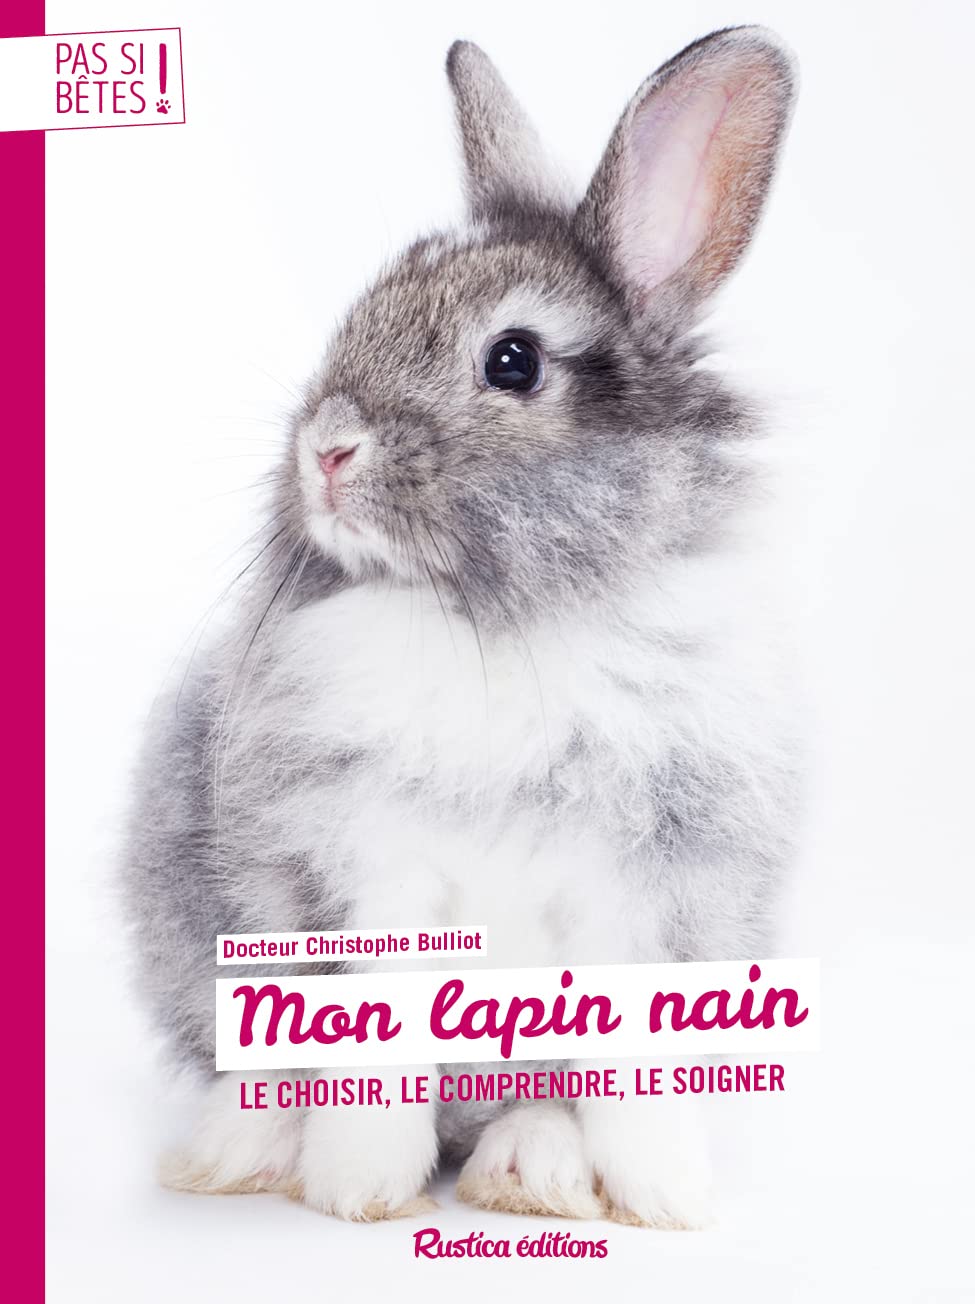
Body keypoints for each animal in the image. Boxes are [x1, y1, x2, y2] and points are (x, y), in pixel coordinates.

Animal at [124, 26, 799, 1228]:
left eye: (513, 359)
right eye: (362, 310)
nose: (326, 448)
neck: (496, 616)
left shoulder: (649, 900)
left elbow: (633, 1071)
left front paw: (665, 1198)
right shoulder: (365, 880)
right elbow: (370, 1044)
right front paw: (358, 1191)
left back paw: (530, 1174)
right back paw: (238, 1155)